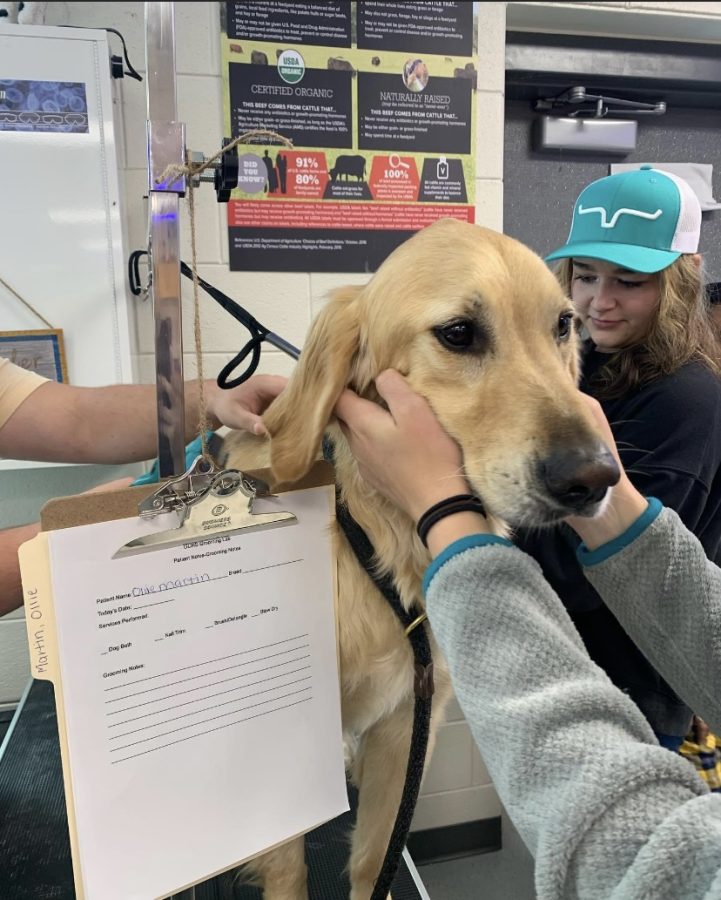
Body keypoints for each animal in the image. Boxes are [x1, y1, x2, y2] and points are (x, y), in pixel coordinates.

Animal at [221, 220, 620, 900]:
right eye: (458, 333)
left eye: (563, 325)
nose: (594, 478)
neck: (380, 541)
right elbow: (291, 868)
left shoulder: (410, 722)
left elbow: (373, 860)